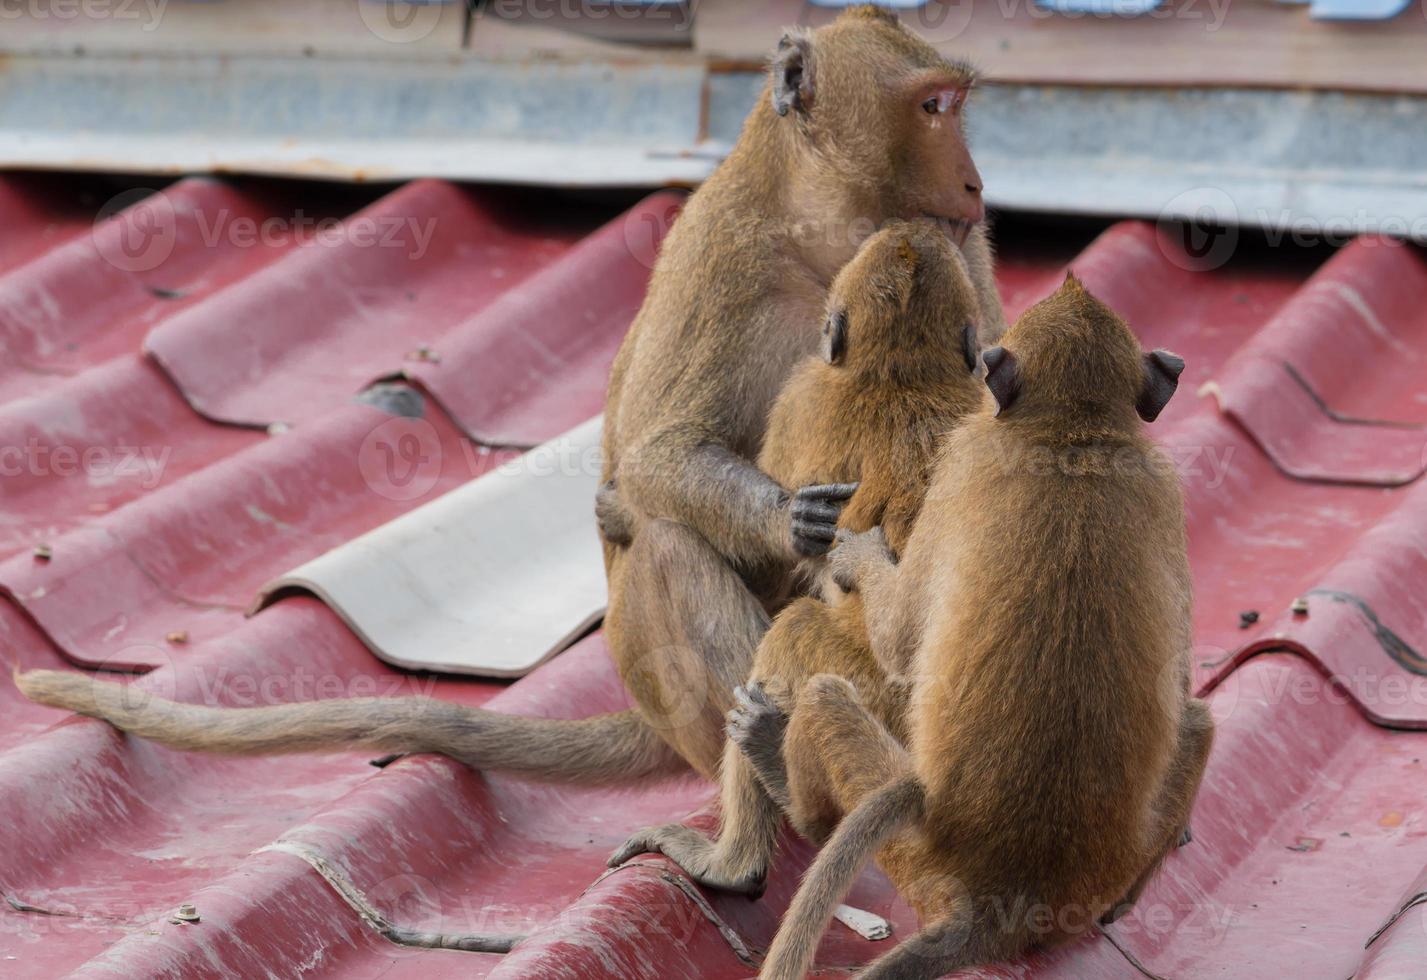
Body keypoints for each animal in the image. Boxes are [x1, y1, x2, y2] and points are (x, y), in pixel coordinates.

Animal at [11, 7, 1004, 798]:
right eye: (933, 107)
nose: (976, 182)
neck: (825, 226)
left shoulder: (962, 250)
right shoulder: (724, 252)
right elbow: (657, 459)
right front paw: (798, 520)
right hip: (680, 704)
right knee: (666, 543)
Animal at [719, 276, 1210, 980]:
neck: (1073, 436)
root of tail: (1005, 899)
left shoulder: (963, 460)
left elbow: (900, 642)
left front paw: (856, 557)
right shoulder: (1159, 480)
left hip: (912, 858)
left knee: (821, 694)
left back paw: (782, 778)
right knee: (1197, 720)